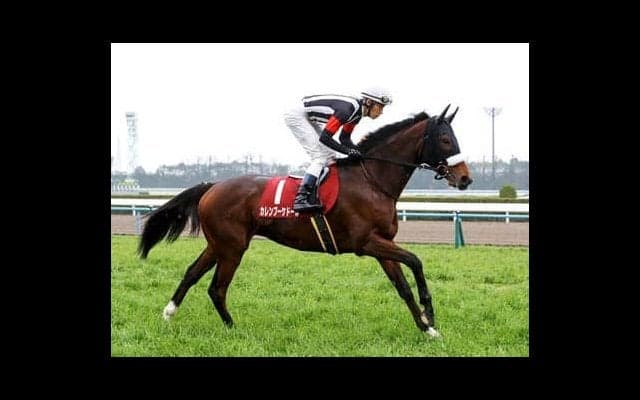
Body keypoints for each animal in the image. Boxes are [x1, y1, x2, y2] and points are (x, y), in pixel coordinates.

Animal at [138, 104, 472, 336]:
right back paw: (234, 328)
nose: (465, 178)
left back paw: (169, 313)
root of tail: (212, 186)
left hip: (219, 244)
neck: (373, 180)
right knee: (217, 288)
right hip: (232, 247)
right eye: (445, 139)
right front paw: (430, 313)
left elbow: (402, 286)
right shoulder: (366, 243)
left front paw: (427, 328)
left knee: (192, 273)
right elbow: (416, 261)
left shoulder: (383, 244)